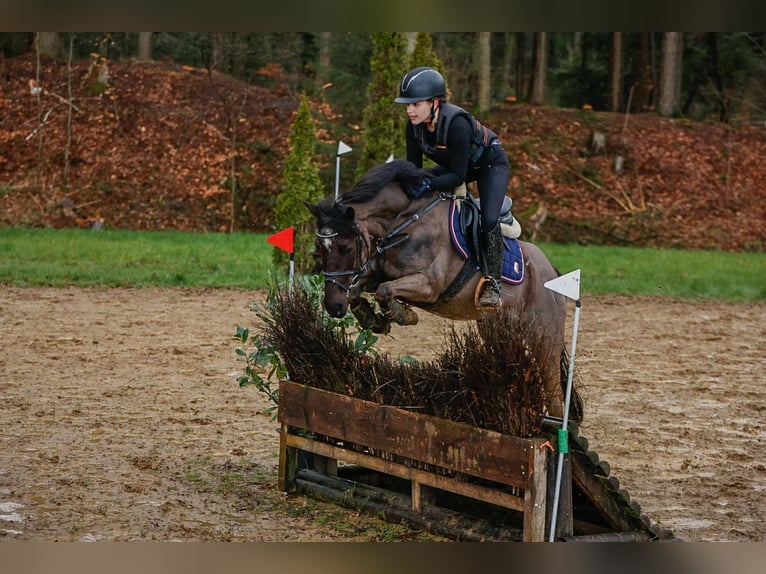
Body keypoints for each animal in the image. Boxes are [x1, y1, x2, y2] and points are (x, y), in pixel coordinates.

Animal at [306, 160, 576, 420]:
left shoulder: (428, 285)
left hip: (543, 337)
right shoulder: (375, 272)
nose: (333, 307)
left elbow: (385, 290)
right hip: (497, 330)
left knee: (553, 387)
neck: (404, 220)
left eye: (346, 248)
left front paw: (403, 314)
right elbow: (360, 289)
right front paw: (372, 319)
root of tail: (552, 270)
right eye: (319, 247)